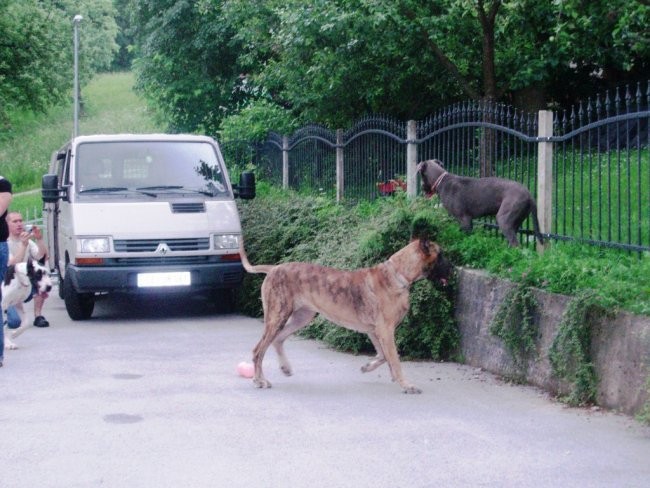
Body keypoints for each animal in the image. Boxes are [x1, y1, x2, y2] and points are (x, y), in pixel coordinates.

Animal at [239, 238, 450, 394]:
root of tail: (273, 268)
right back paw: (259, 380)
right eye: (441, 255)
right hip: (277, 316)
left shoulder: (375, 331)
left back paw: (285, 368)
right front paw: (406, 385)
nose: (453, 268)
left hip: (302, 317)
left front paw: (368, 367)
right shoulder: (385, 331)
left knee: (278, 340)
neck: (398, 274)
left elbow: (384, 356)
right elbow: (395, 360)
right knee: (259, 350)